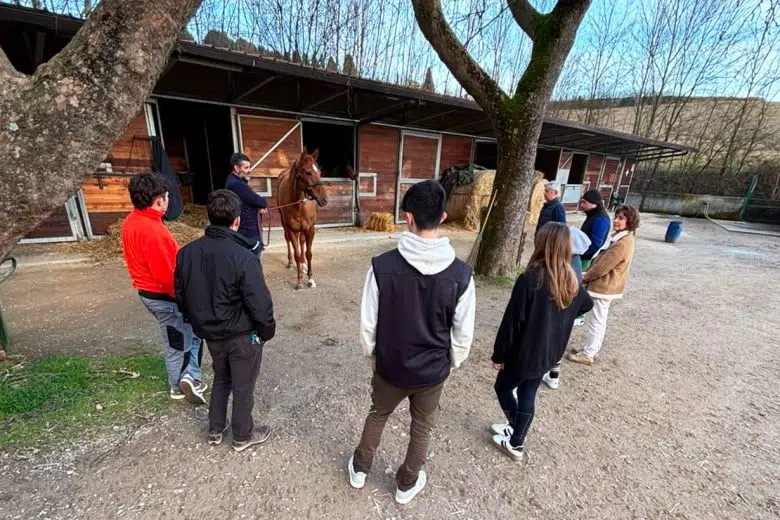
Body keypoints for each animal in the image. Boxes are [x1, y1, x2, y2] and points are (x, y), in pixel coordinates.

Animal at [277, 148, 329, 290]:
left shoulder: (310, 229)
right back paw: (291, 263)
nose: (324, 199)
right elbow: (297, 254)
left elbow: (308, 253)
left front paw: (310, 279)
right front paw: (299, 281)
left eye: (319, 172)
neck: (299, 205)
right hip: (284, 224)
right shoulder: (292, 229)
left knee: (302, 242)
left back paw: (304, 265)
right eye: (308, 172)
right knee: (288, 241)